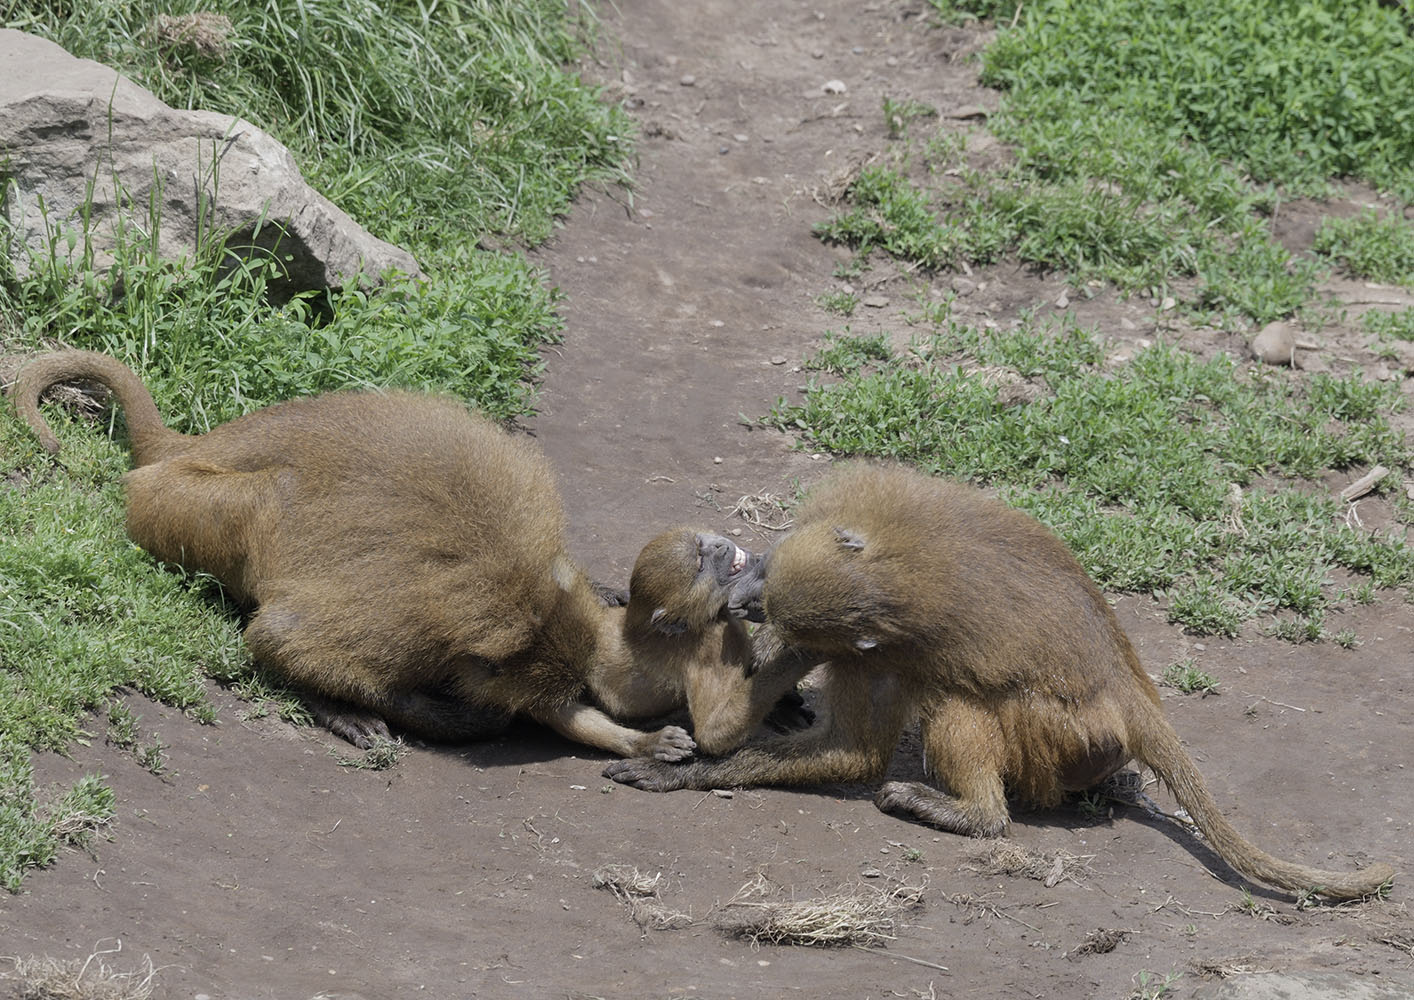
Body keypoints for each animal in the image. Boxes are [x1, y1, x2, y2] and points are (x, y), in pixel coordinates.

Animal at [11, 349, 769, 756]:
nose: (741, 559)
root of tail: (188, 447)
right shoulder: (439, 637)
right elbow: (283, 637)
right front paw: (357, 702)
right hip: (177, 505)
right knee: (267, 505)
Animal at [605, 463, 1397, 902]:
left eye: (764, 589)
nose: (743, 600)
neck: (892, 560)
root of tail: (1129, 693)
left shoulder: (883, 645)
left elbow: (856, 754)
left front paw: (685, 769)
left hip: (1065, 733)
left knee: (964, 709)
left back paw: (974, 815)